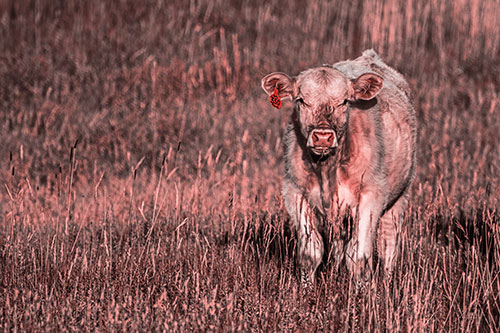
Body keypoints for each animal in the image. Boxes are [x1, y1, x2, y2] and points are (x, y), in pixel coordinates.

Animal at [260, 50, 416, 282]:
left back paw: (387, 281)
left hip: (400, 195)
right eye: (301, 100)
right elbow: (310, 254)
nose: (323, 137)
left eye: (344, 101)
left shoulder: (371, 196)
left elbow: (359, 257)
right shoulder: (295, 193)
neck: (326, 170)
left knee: (388, 243)